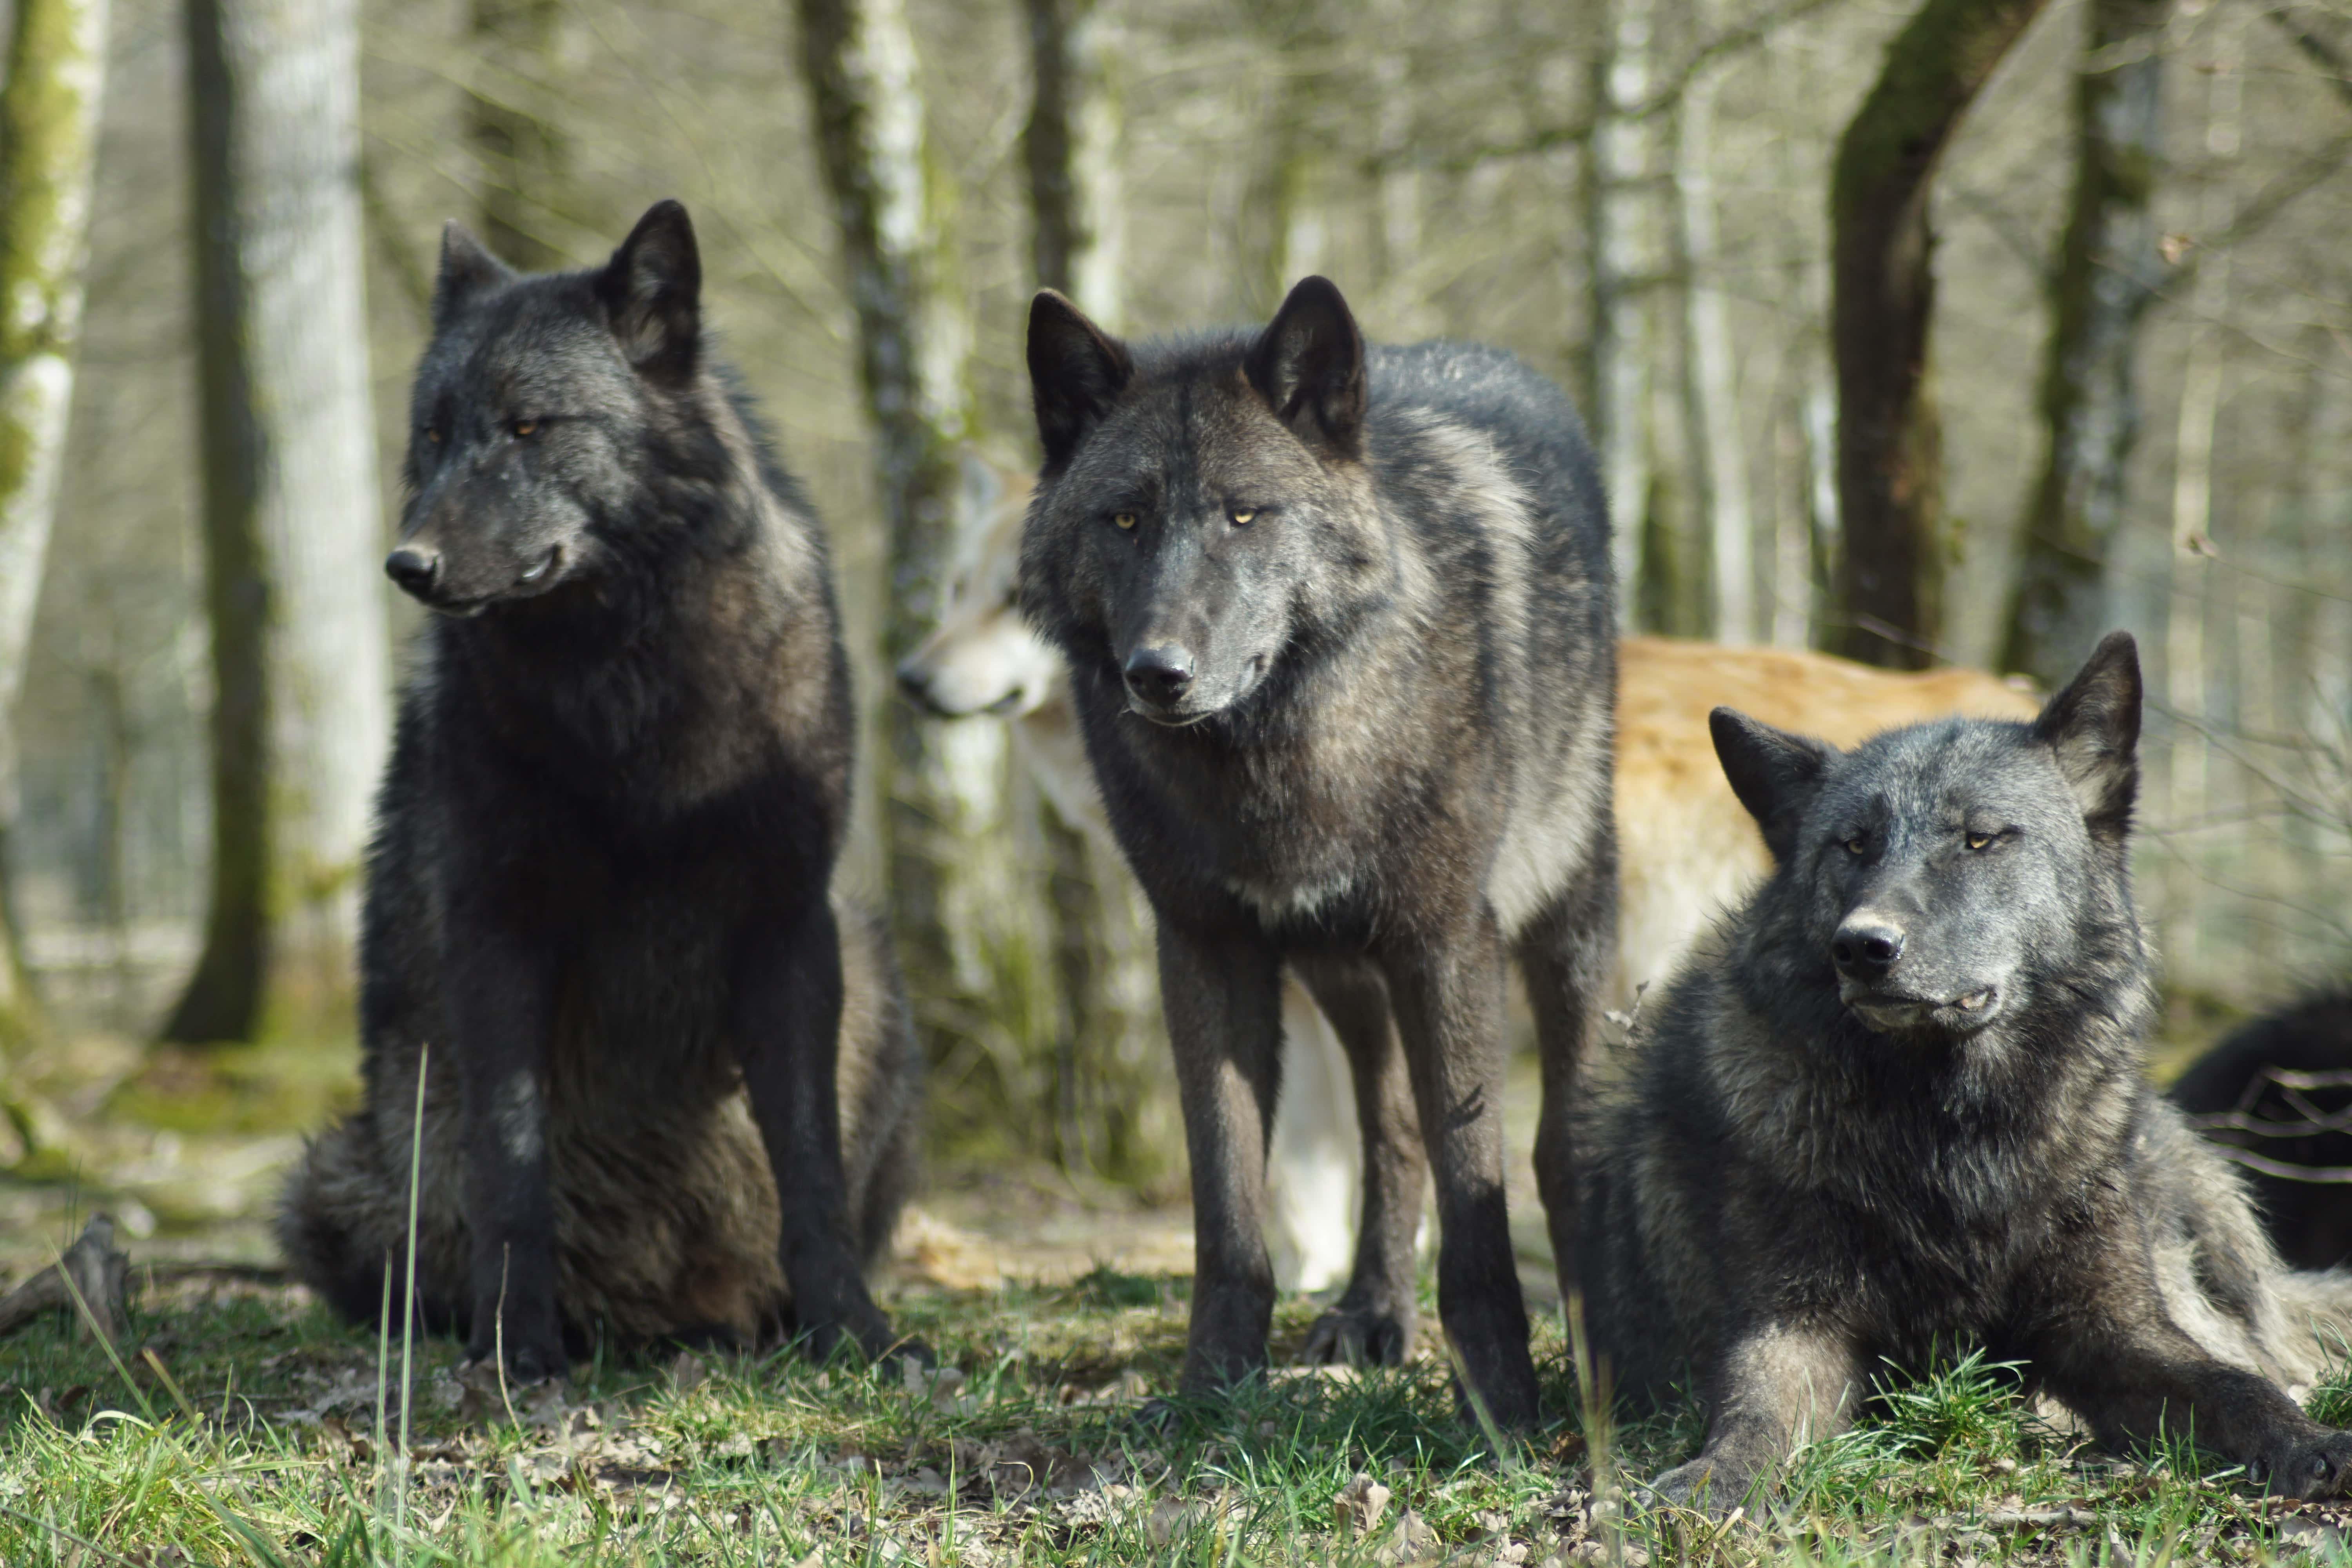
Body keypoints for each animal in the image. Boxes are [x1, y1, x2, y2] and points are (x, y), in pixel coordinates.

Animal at [280, 202, 922, 1382]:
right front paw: (516, 1345)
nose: (407, 565)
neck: (629, 681)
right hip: (336, 1179)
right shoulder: (498, 928)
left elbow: (809, 1166)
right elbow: (513, 1162)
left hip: (875, 971)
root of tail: (662, 1314)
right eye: (432, 433)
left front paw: (852, 1332)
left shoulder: (789, 922)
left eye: (530, 427)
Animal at [1030, 276, 1618, 1429]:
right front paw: (1210, 1391)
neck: (1277, 760)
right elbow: (1227, 1203)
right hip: (1341, 970)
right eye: (1123, 518)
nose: (1157, 672)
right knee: (1388, 1131)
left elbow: (1477, 1188)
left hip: (1561, 926)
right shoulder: (1205, 950)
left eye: (1243, 514)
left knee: (1556, 1141)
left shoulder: (1446, 945)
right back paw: (1373, 1312)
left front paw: (1501, 1403)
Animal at [1571, 635, 2352, 1504]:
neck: (1950, 1134)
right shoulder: (1794, 1322)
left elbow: (2234, 1384)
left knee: (2263, 1346)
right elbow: (1755, 1405)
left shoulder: (2115, 1326)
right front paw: (1715, 1478)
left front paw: (2309, 1441)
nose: (1862, 947)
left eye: (1980, 838)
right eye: (1853, 843)